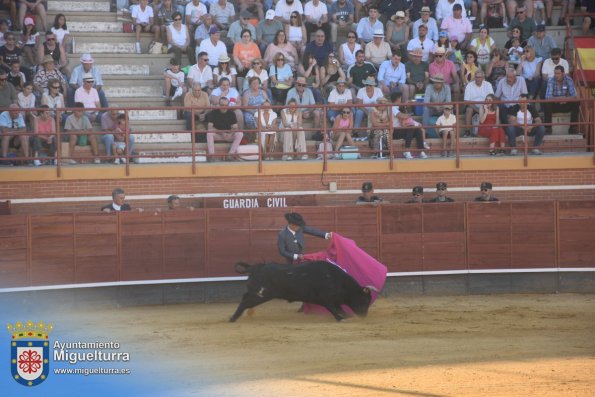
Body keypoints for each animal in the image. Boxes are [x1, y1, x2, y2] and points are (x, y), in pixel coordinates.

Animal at [228, 260, 378, 322]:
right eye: (365, 300)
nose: (364, 316)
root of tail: (254, 267)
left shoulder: (333, 300)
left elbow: (339, 308)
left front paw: (346, 316)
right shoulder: (326, 299)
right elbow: (334, 309)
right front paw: (341, 318)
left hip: (256, 293)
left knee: (244, 298)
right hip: (260, 295)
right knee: (244, 303)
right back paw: (232, 319)